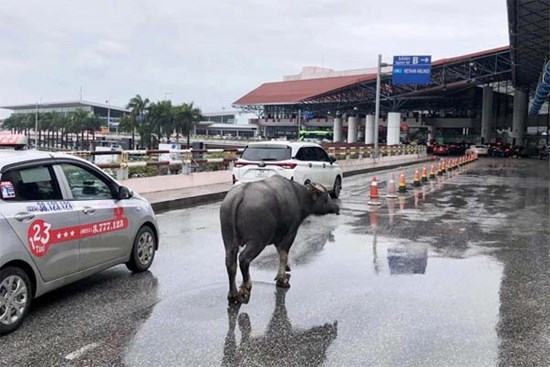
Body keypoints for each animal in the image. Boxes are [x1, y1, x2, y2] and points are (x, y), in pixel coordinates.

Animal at [221, 175, 340, 304]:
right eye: (326, 196)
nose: (336, 207)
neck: (298, 196)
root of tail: (240, 194)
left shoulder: (278, 239)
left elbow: (281, 255)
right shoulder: (289, 234)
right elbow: (283, 255)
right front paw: (282, 280)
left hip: (228, 239)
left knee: (230, 263)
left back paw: (233, 294)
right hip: (257, 241)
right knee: (244, 259)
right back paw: (246, 288)